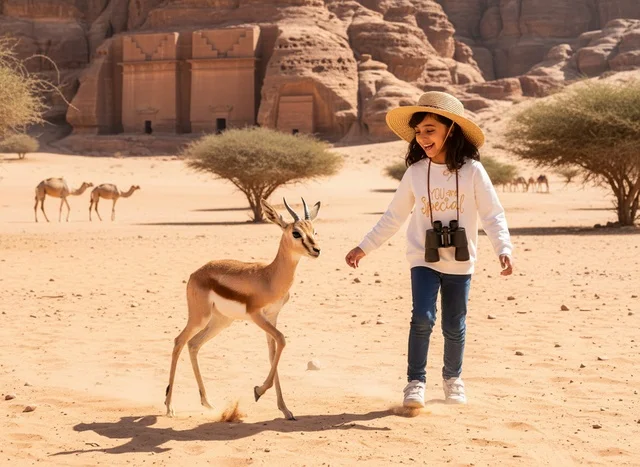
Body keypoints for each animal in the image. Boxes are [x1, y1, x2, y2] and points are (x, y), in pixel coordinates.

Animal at [165, 198, 321, 420]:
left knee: (193, 344)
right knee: (179, 341)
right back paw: (169, 407)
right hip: (199, 318)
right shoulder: (257, 316)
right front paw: (258, 391)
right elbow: (282, 340)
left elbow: (273, 353)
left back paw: (207, 403)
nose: (316, 250)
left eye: (314, 230)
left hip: (221, 321)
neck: (270, 277)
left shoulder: (272, 317)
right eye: (296, 232)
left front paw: (285, 409)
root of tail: (196, 273)